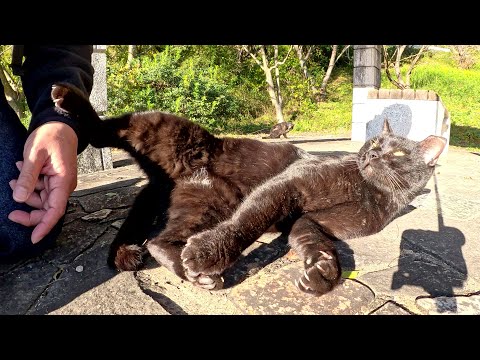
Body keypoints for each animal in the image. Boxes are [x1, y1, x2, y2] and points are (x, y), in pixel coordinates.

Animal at [50, 83, 444, 296]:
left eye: (395, 152)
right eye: (373, 143)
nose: (371, 153)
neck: (367, 189)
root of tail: (167, 178)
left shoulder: (312, 221)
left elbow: (317, 244)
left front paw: (321, 275)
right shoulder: (289, 184)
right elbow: (249, 222)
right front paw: (208, 253)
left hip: (205, 205)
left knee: (158, 240)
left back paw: (194, 275)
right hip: (161, 128)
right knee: (101, 130)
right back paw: (66, 98)